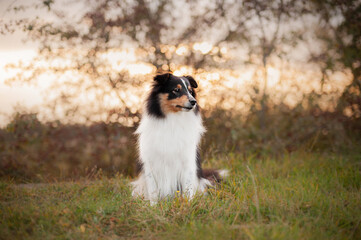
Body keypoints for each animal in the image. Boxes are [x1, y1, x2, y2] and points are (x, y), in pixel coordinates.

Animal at [131, 72, 228, 202]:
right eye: (176, 90)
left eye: (191, 91)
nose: (193, 101)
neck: (173, 119)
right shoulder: (151, 163)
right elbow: (153, 190)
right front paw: (153, 205)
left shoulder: (187, 161)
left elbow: (187, 188)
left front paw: (188, 203)